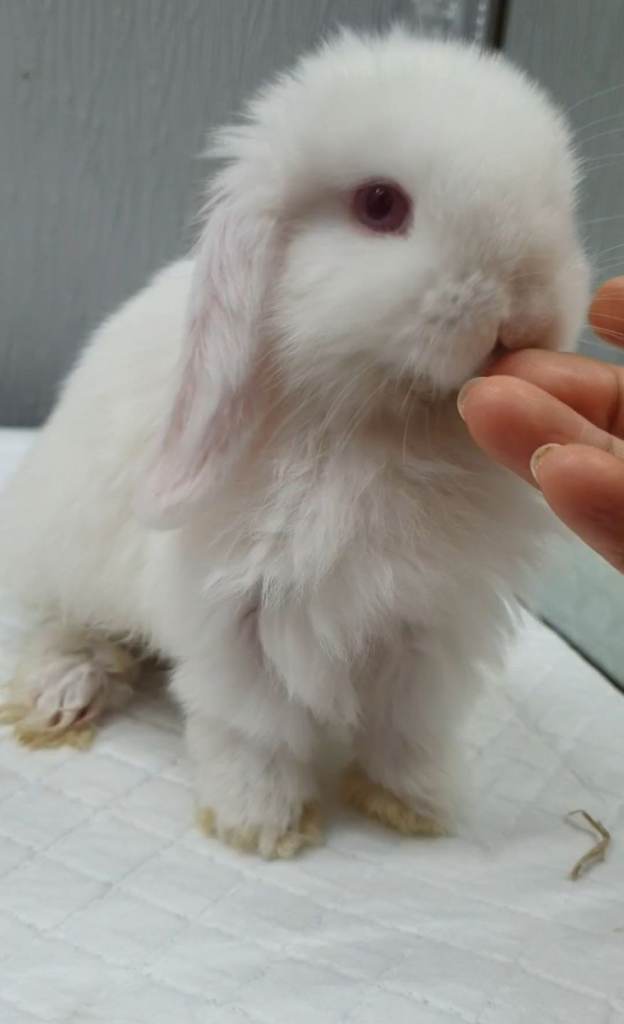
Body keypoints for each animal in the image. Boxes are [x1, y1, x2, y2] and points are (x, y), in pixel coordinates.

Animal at [0, 27, 588, 857]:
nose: (528, 307)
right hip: (68, 558)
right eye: (379, 204)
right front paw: (262, 826)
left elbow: (410, 726)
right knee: (72, 625)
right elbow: (256, 731)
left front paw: (415, 807)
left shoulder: (427, 625)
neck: (382, 424)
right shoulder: (238, 617)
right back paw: (62, 693)